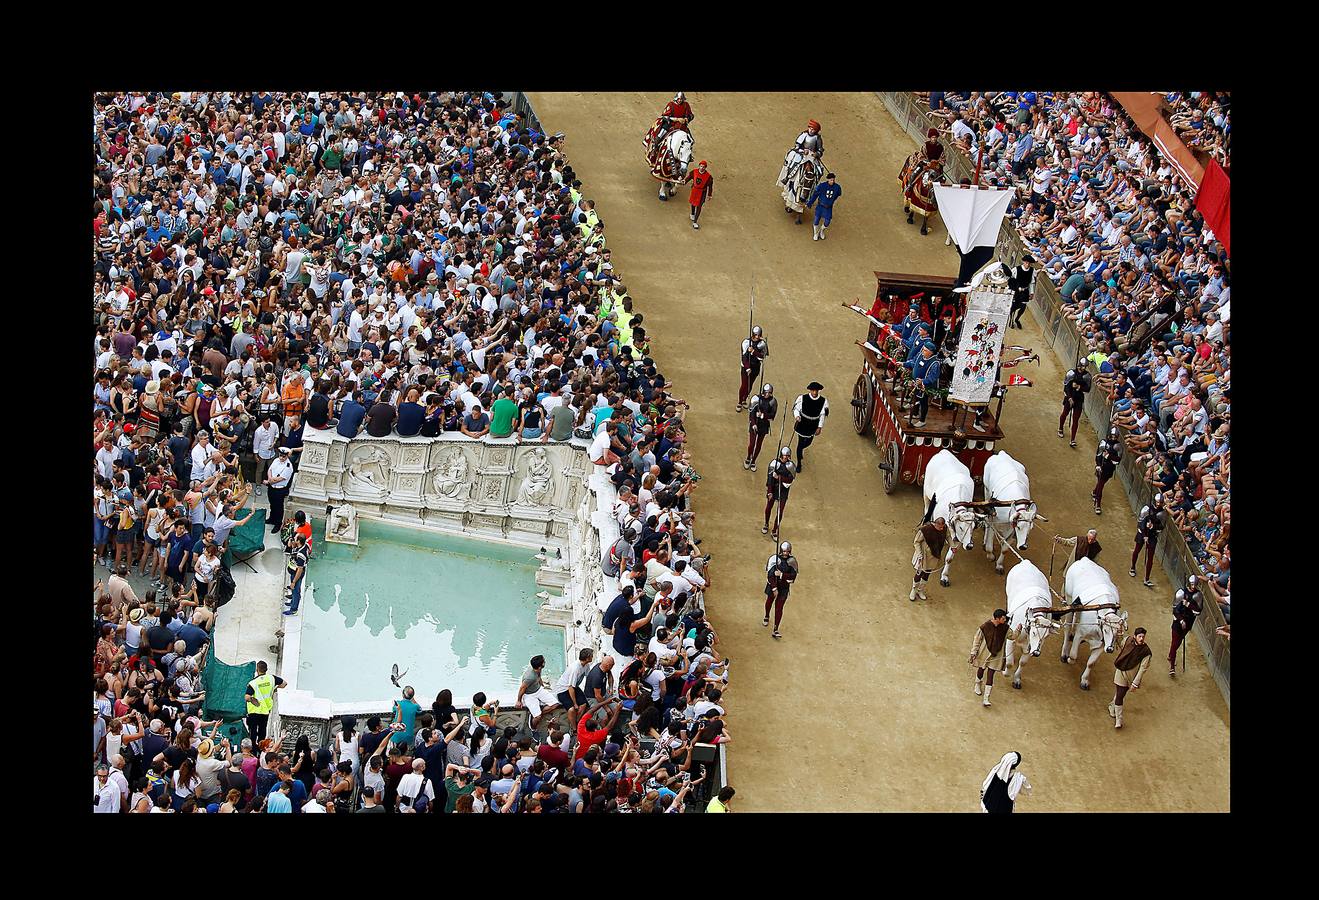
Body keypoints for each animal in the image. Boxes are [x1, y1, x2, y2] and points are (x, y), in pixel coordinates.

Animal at [923, 446, 986, 585]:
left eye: (973, 528)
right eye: (961, 527)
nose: (969, 546)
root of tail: (944, 452)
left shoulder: (957, 538)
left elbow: (950, 558)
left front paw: (945, 577)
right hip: (926, 493)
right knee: (926, 509)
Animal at [1055, 556, 1129, 691]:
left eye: (1119, 632)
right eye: (1106, 630)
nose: (1110, 649)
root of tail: (1084, 559)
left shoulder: (1101, 644)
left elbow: (1091, 663)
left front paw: (1084, 681)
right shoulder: (1080, 634)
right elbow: (1073, 655)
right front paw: (1069, 659)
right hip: (1069, 600)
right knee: (1068, 627)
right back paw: (1064, 652)